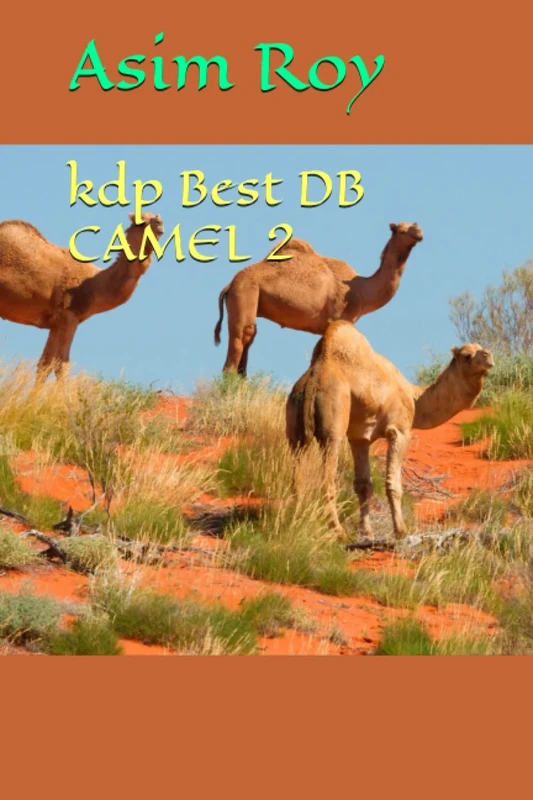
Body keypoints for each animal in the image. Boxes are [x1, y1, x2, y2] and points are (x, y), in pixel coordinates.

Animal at [0, 212, 164, 381]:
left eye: (157, 219)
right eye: (141, 221)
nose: (159, 223)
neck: (94, 285)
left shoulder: (55, 323)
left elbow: (44, 365)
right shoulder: (69, 315)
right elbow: (61, 365)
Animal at [214, 221, 423, 376]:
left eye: (414, 224)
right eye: (401, 229)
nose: (419, 231)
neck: (361, 288)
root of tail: (229, 285)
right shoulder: (340, 317)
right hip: (244, 292)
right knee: (242, 338)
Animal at [286, 320, 494, 539]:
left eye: (481, 348)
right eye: (467, 355)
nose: (488, 355)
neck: (414, 397)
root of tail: (313, 380)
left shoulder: (360, 438)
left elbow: (363, 485)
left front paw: (367, 532)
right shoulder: (399, 430)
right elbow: (393, 484)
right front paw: (400, 530)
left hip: (294, 416)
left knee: (296, 473)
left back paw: (296, 522)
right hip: (333, 416)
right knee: (327, 477)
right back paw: (338, 531)